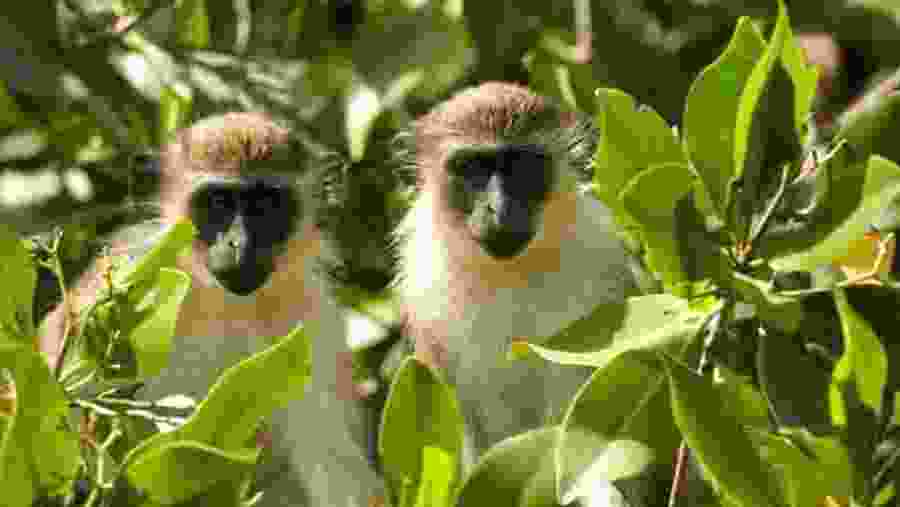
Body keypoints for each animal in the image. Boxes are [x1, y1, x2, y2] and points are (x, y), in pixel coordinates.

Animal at [39, 112, 383, 507]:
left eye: (267, 205)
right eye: (218, 202)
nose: (240, 243)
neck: (223, 303)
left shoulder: (311, 319)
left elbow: (336, 465)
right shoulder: (126, 280)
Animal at [393, 82, 638, 477]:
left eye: (521, 165)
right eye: (473, 167)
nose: (500, 207)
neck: (507, 272)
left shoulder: (602, 271)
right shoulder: (426, 292)